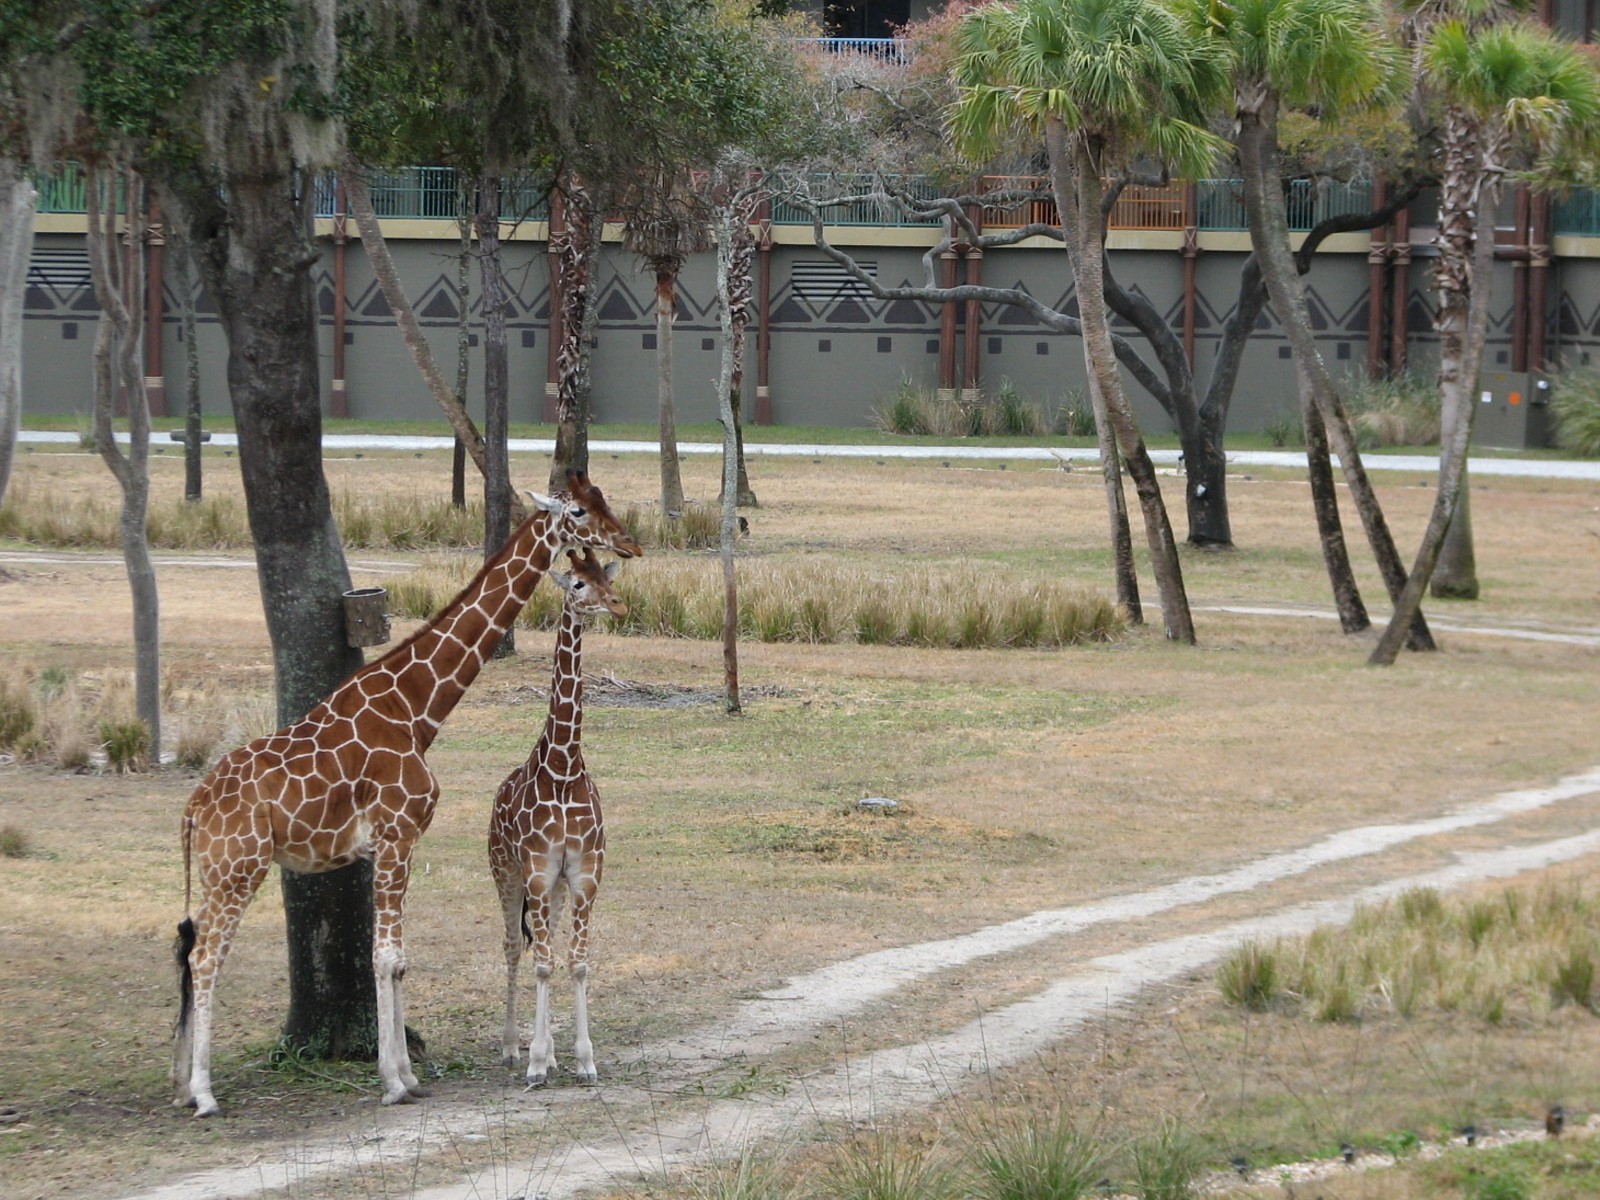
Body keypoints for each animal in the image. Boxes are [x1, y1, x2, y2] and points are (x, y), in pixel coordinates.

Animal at [489, 546, 626, 1086]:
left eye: (607, 577)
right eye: (577, 584)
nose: (618, 604)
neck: (564, 768)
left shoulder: (584, 874)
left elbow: (579, 961)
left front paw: (583, 1059)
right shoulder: (537, 870)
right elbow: (544, 963)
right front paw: (534, 1062)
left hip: (556, 889)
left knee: (542, 941)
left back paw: (545, 1051)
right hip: (507, 872)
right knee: (514, 947)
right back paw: (513, 1048)